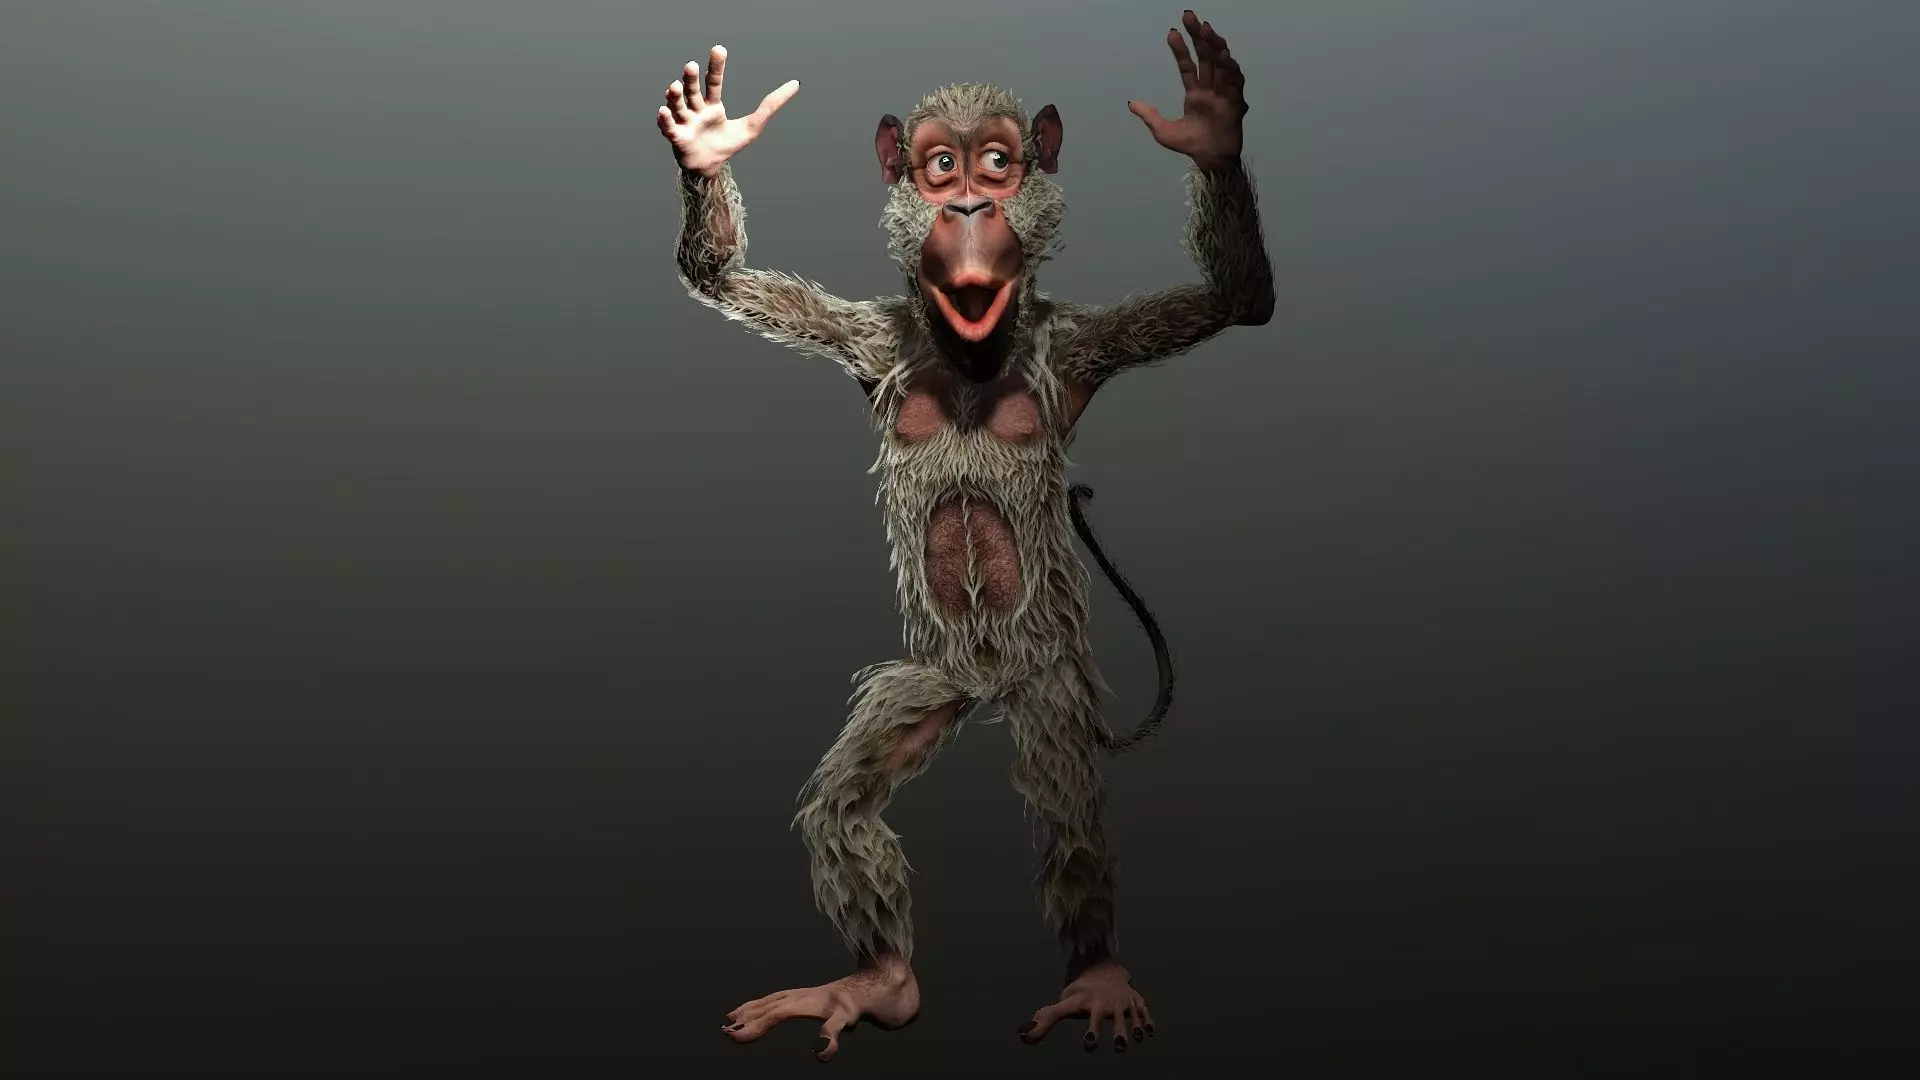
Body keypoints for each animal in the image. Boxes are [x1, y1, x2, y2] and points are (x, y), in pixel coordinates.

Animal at [656, 9, 1272, 1062]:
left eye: (998, 162)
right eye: (940, 169)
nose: (974, 205)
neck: (970, 355)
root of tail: (984, 685)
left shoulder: (1079, 350)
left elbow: (1235, 300)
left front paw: (1211, 127)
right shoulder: (866, 339)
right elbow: (720, 275)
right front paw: (707, 144)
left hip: (1048, 677)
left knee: (1068, 801)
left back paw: (1093, 969)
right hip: (924, 682)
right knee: (843, 806)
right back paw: (882, 980)